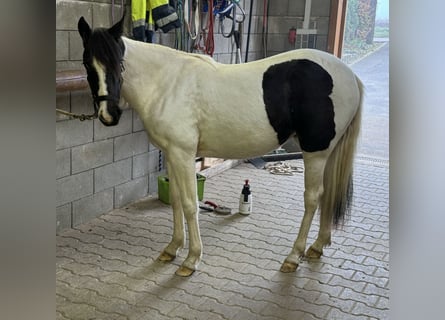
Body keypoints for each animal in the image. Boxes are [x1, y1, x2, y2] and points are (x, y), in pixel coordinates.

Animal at [77, 14, 360, 278]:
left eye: (119, 63)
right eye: (87, 64)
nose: (108, 115)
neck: (166, 84)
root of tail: (350, 76)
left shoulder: (183, 154)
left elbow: (190, 205)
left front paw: (191, 259)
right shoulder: (171, 154)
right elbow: (176, 201)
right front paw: (172, 248)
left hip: (316, 153)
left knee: (313, 198)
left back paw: (293, 256)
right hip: (328, 152)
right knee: (328, 193)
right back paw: (317, 247)